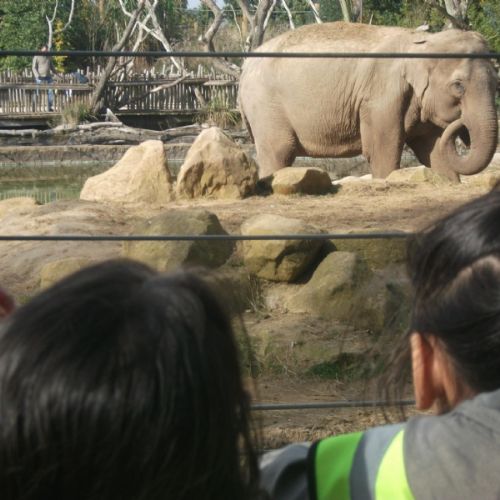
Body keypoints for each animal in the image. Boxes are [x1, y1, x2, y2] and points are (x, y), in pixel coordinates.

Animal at [238, 22, 498, 182]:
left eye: (496, 83)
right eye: (458, 86)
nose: (462, 126)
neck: (424, 40)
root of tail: (244, 67)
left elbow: (433, 152)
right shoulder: (381, 97)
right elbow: (382, 150)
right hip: (265, 106)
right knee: (279, 151)